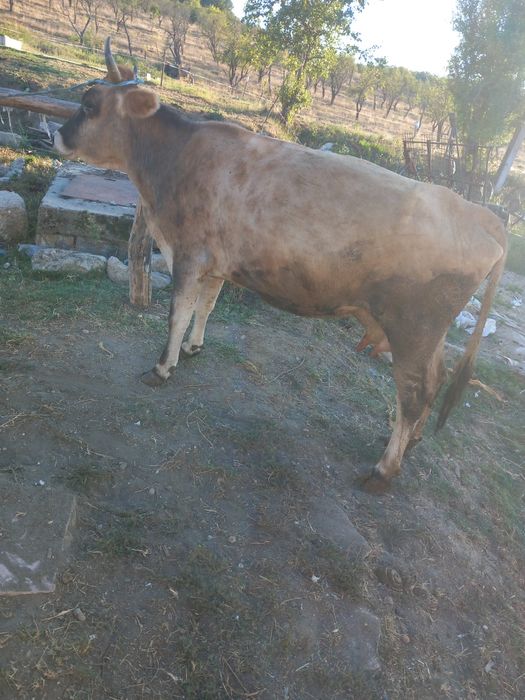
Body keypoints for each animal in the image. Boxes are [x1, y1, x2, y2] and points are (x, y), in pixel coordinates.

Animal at [53, 38, 507, 491]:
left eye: (90, 104)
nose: (57, 135)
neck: (172, 159)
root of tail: (478, 212)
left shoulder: (188, 256)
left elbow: (177, 314)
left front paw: (163, 367)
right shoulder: (215, 262)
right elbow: (207, 306)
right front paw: (193, 347)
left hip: (413, 329)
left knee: (415, 393)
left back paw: (384, 469)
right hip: (428, 334)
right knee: (436, 379)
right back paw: (406, 442)